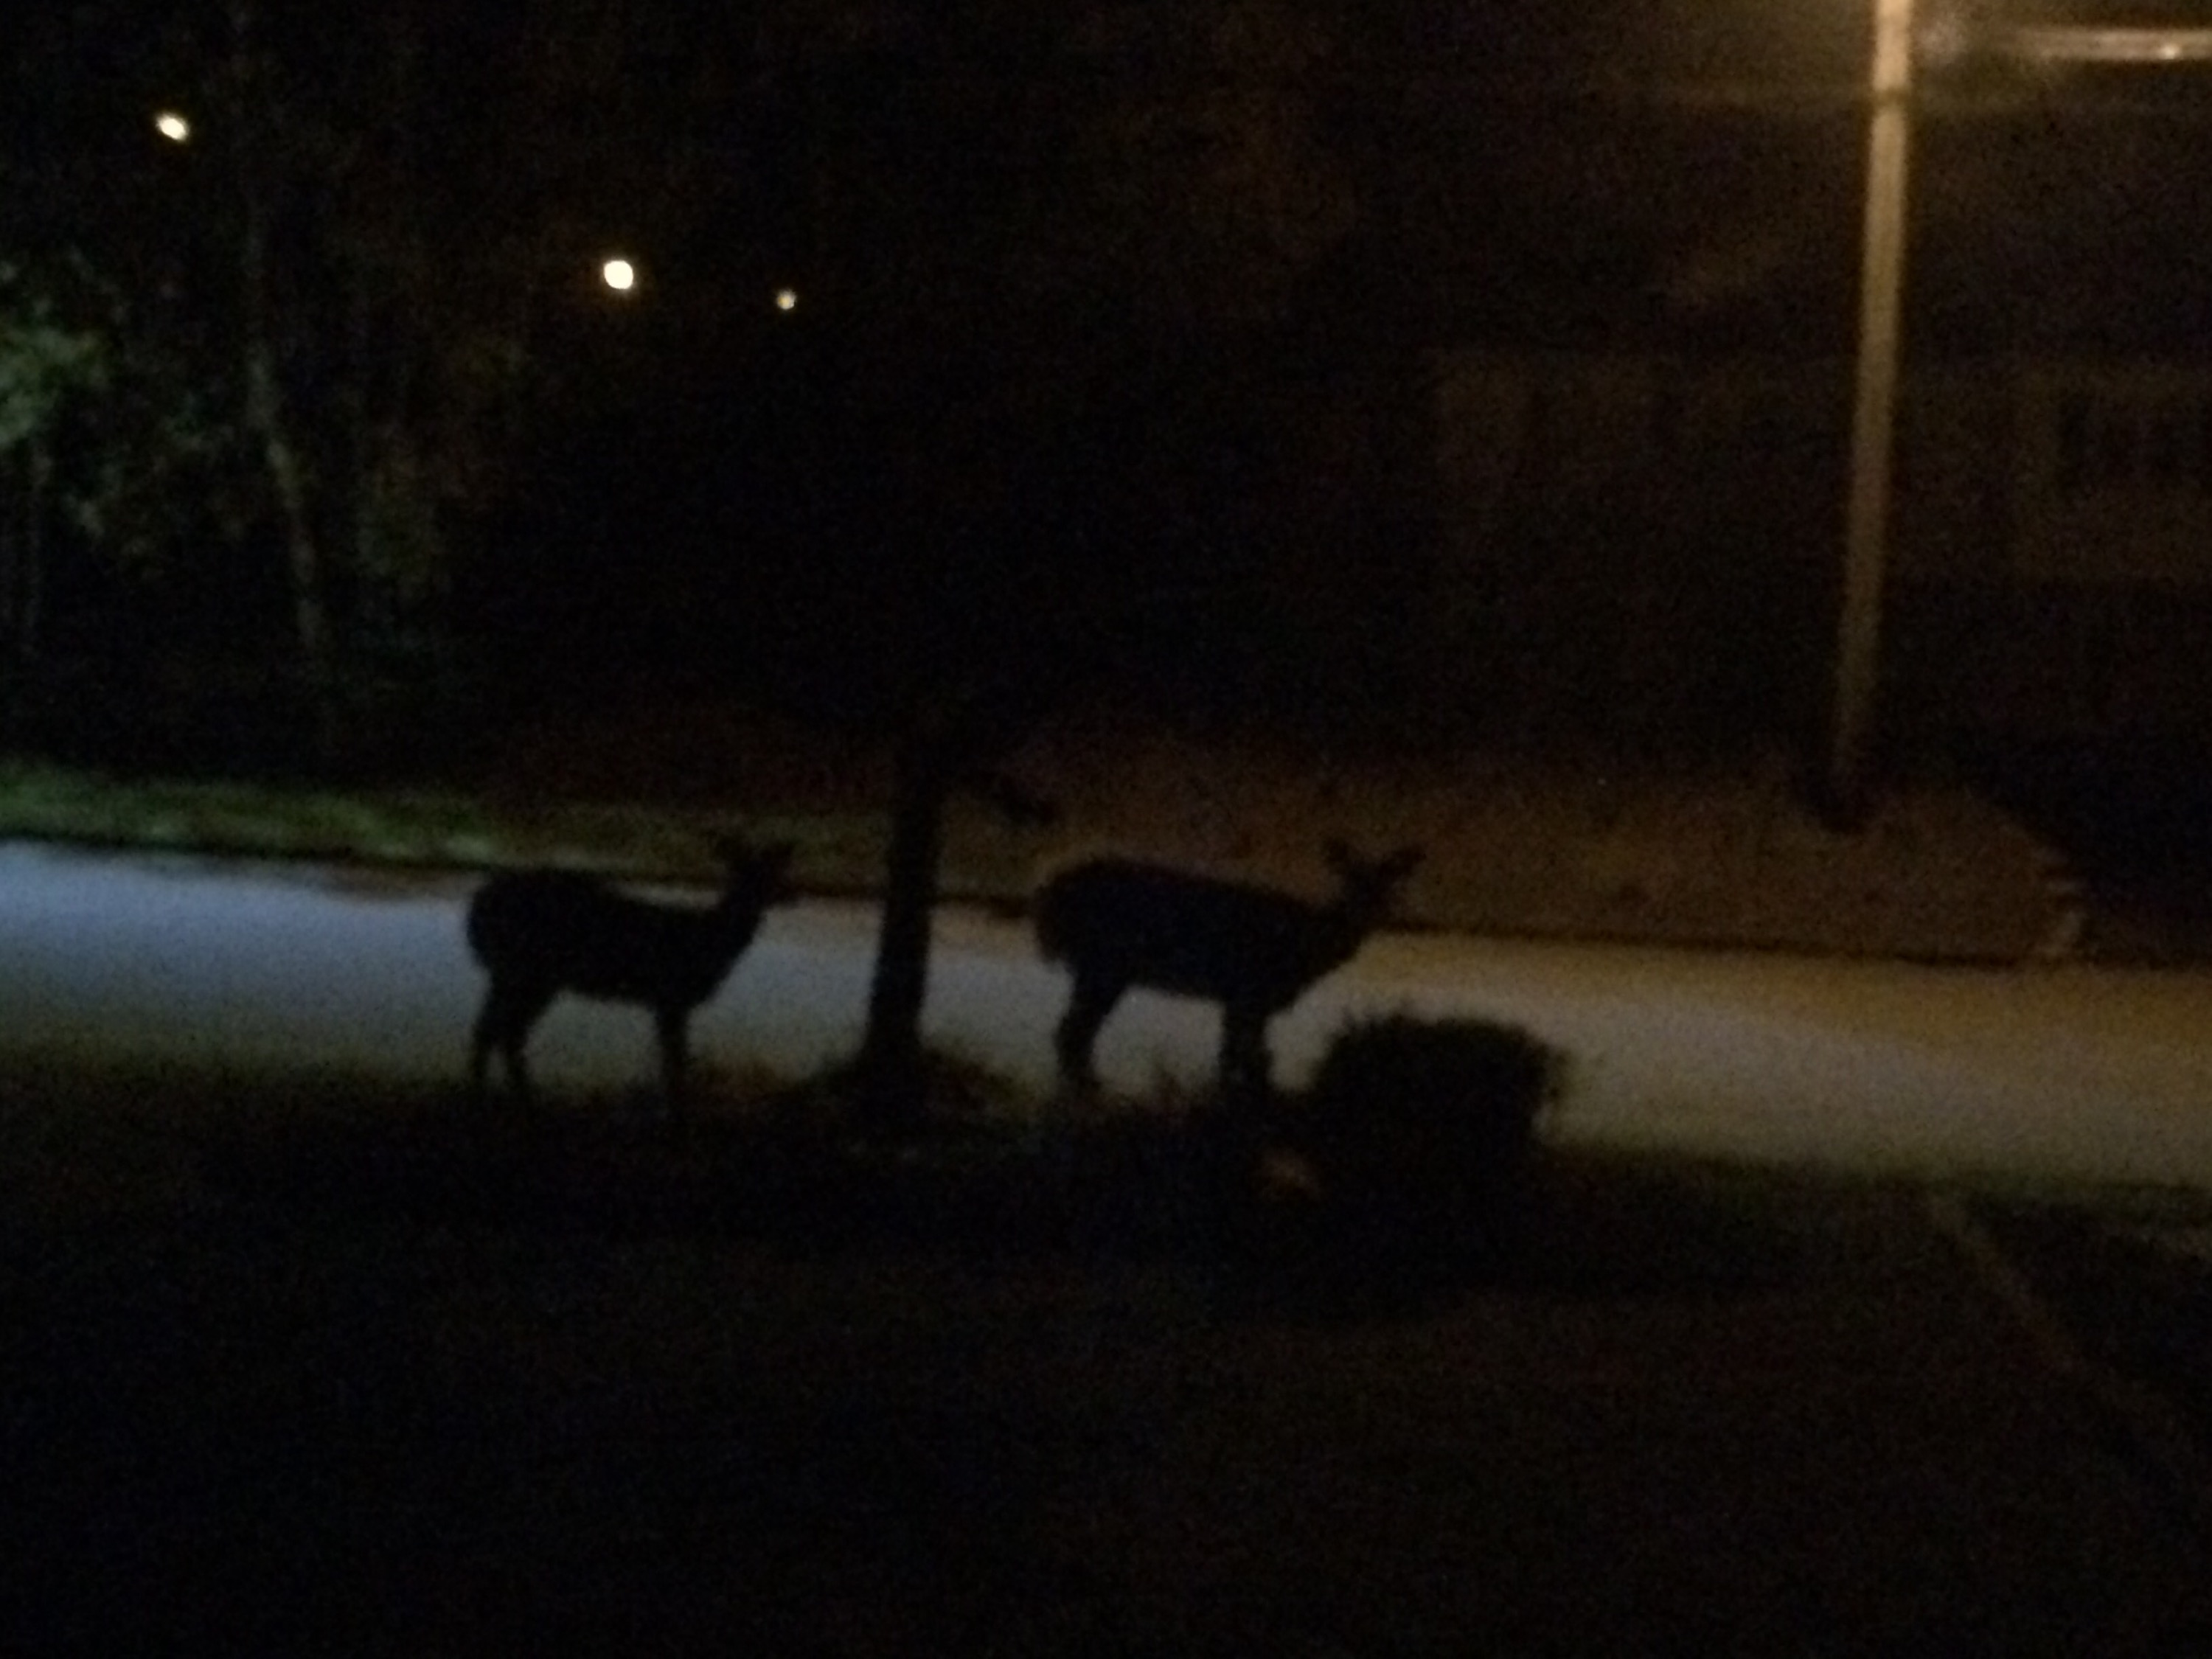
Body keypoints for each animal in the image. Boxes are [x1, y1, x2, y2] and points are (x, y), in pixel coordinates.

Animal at [465, 835, 798, 1111]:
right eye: (744, 872)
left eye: (773, 870)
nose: (789, 895)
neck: (707, 943)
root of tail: (476, 911)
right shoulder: (671, 997)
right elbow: (675, 1062)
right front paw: (677, 1111)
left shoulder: (670, 1002)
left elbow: (675, 1060)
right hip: (525, 971)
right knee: (497, 1030)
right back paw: (496, 1097)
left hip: (522, 975)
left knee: (501, 1030)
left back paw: (511, 1097)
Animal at [1034, 839, 1423, 1102]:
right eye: (1349, 879)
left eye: (1388, 883)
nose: (1367, 909)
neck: (1304, 948)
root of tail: (1050, 896)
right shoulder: (1247, 992)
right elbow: (1242, 1059)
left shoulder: (1243, 1000)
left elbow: (1245, 1057)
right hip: (1104, 964)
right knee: (1072, 1032)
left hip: (1101, 967)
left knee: (1074, 1032)